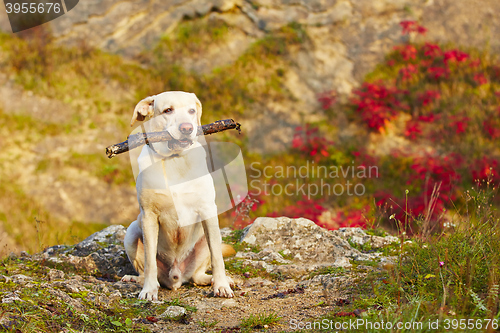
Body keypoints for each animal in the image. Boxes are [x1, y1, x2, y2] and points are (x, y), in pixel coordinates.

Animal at [123, 91, 236, 300]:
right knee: (145, 270)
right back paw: (137, 280)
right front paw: (148, 291)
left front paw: (222, 285)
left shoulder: (208, 210)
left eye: (192, 111)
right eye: (168, 110)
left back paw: (219, 280)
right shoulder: (149, 216)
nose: (187, 128)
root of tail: (176, 277)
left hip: (208, 238)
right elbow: (149, 260)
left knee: (199, 274)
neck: (174, 159)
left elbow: (217, 257)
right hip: (132, 231)